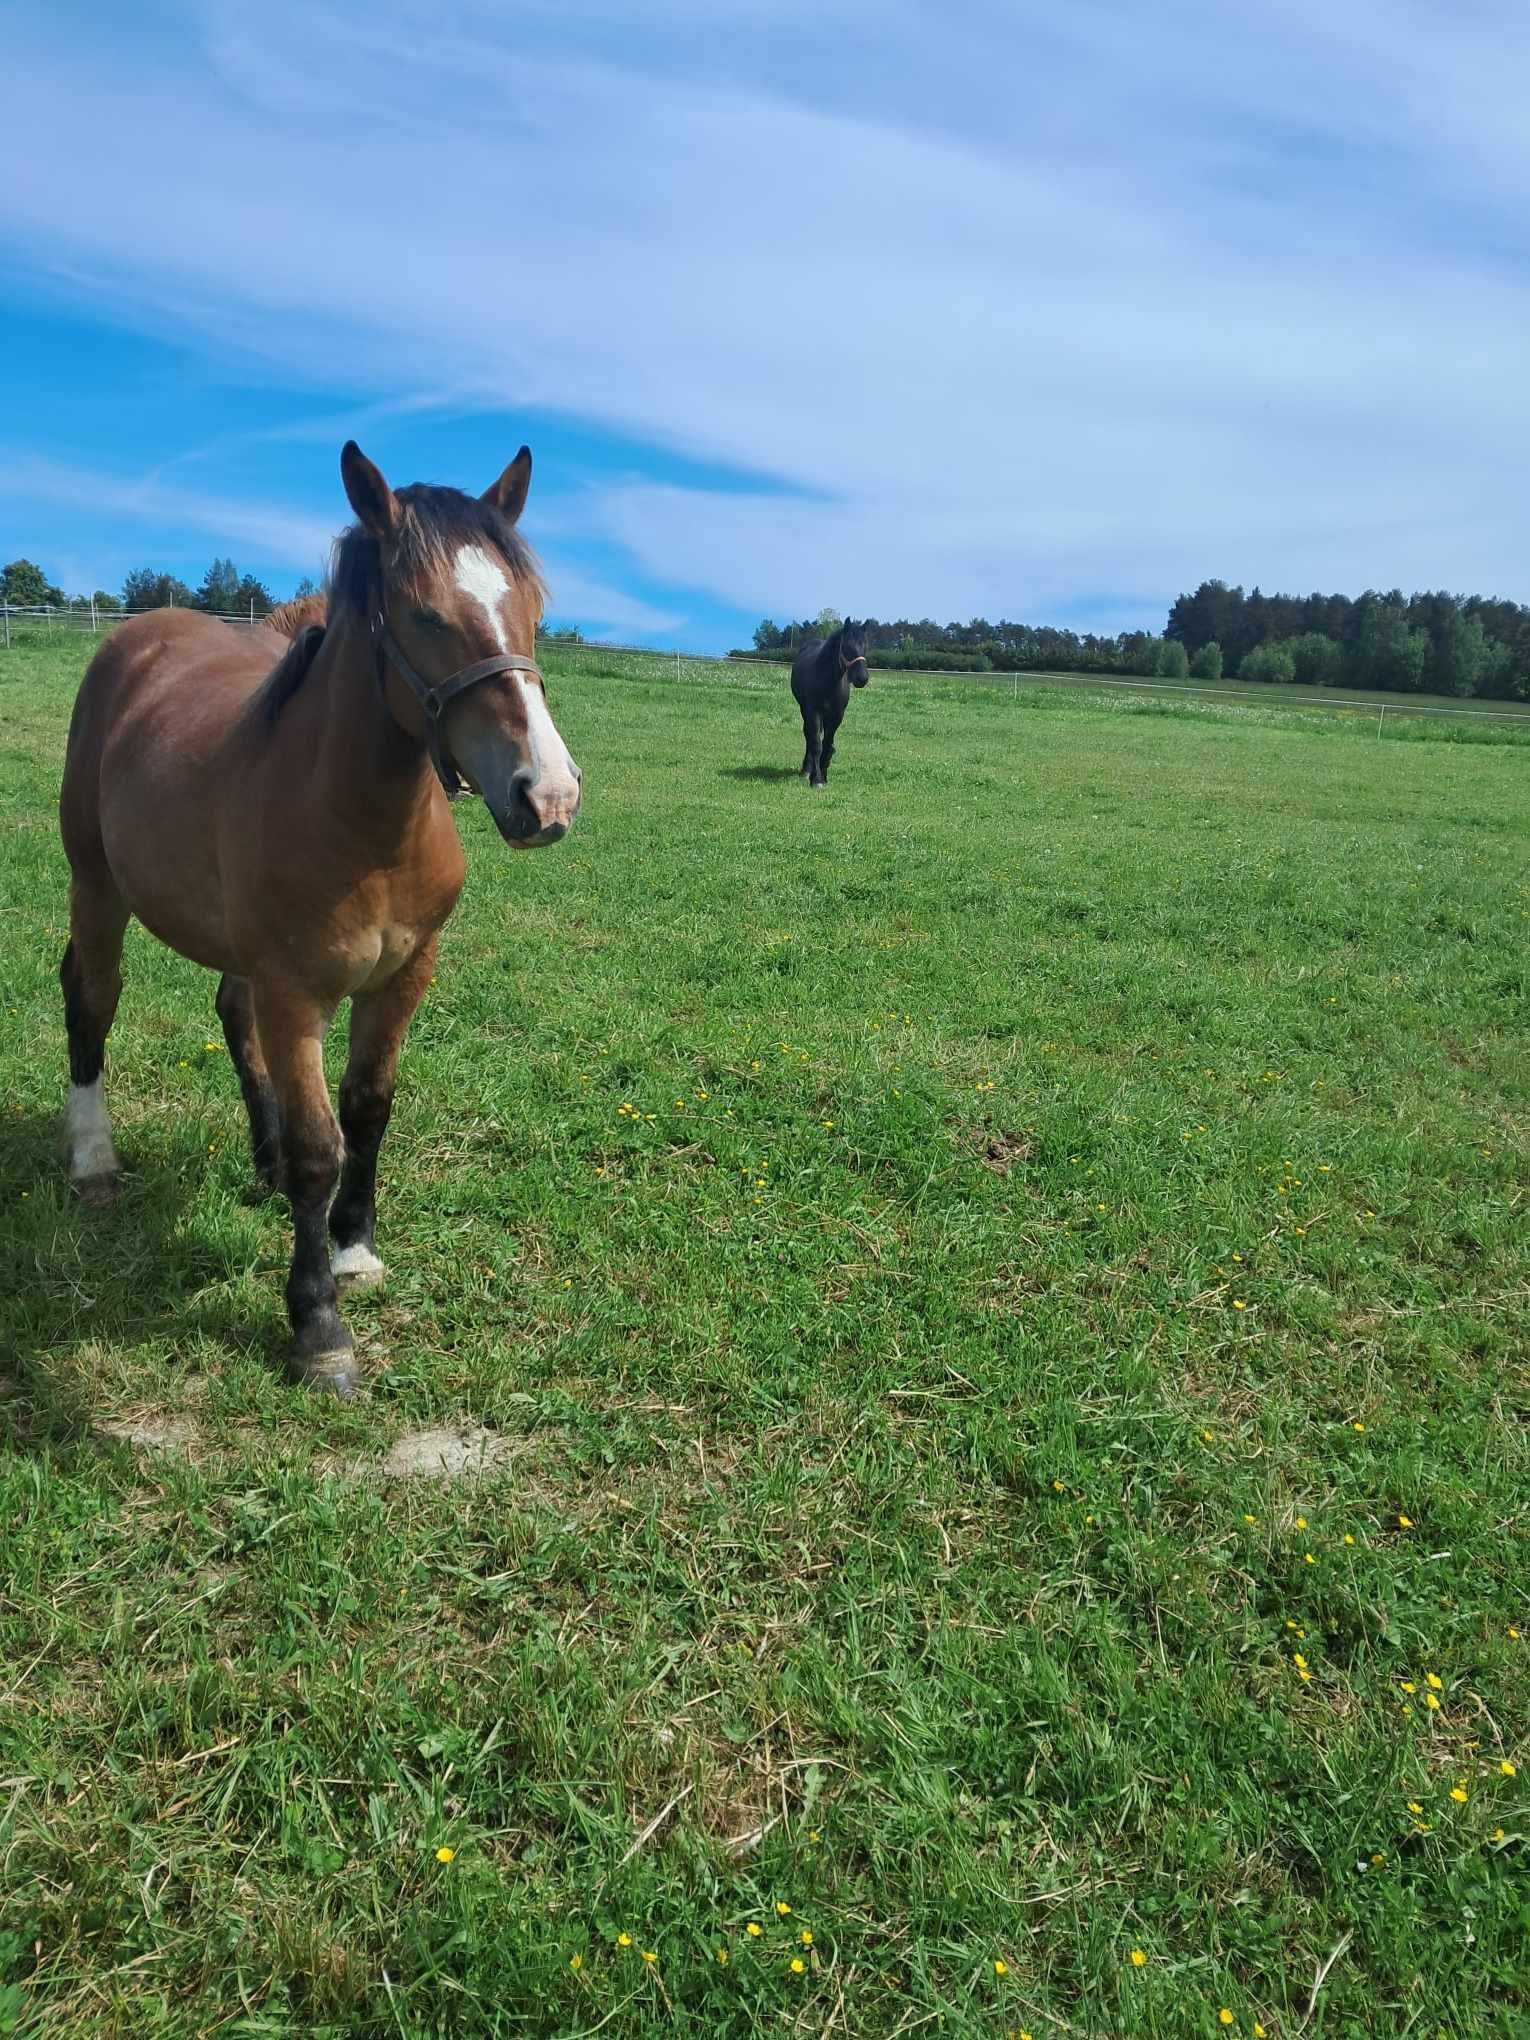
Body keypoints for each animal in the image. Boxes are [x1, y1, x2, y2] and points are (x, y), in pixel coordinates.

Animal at [58, 442, 579, 1403]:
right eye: (422, 615)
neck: (362, 824)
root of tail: (138, 637)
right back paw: (94, 1163)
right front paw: (317, 1328)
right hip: (96, 883)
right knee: (91, 1001)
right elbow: (317, 1147)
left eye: (531, 609)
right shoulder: (295, 991)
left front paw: (353, 1249)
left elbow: (367, 1108)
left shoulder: (404, 975)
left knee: (230, 1015)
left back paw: (256, 1163)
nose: (548, 796)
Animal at [791, 616, 873, 783]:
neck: (828, 681)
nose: (862, 678)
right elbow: (816, 743)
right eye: (847, 646)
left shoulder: (837, 715)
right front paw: (816, 779)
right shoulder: (813, 711)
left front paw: (823, 775)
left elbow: (828, 744)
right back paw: (806, 770)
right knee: (809, 736)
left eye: (865, 646)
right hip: (804, 709)